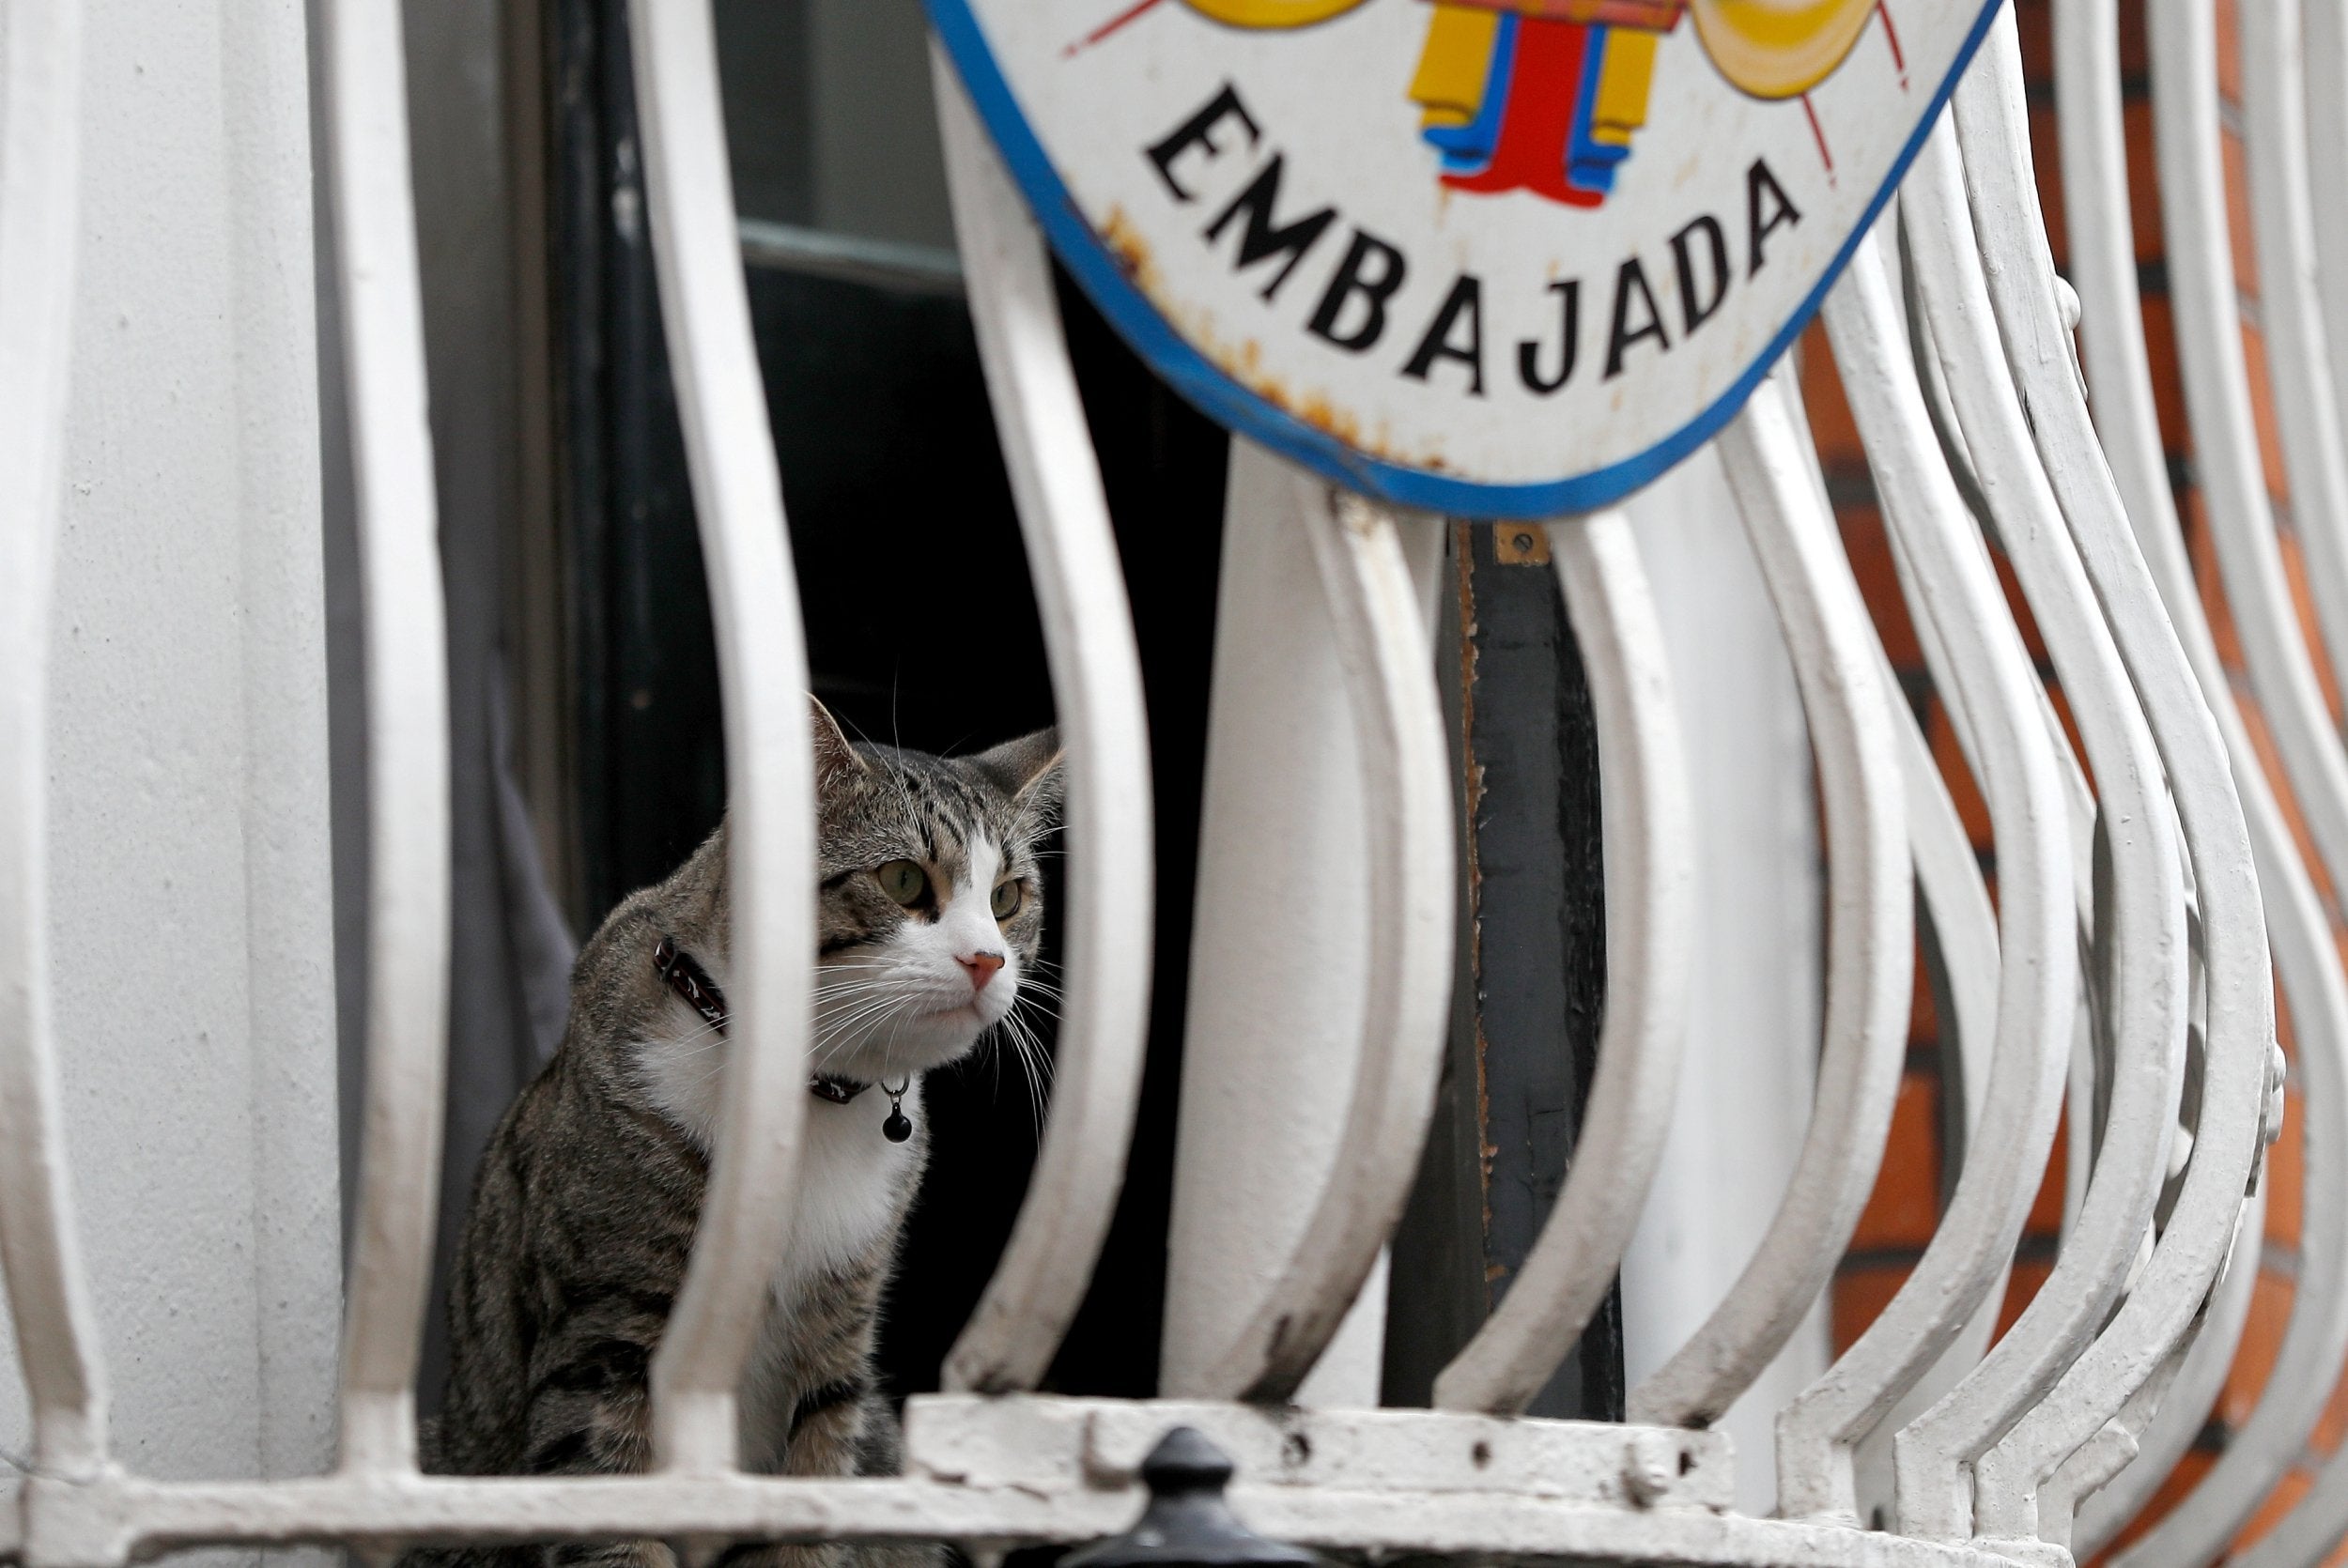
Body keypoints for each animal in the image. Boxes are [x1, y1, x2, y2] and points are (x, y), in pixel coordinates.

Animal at [418, 699, 1061, 1568]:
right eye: (902, 880)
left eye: (1009, 895)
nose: (988, 960)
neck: (805, 1103)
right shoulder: (604, 1334)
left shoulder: (838, 1332)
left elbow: (816, 1476)